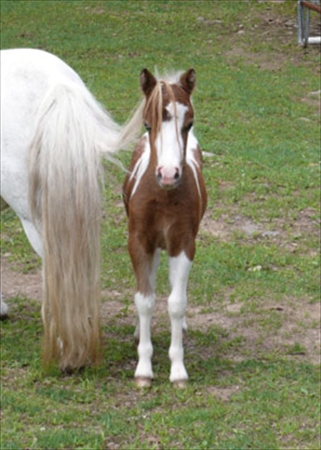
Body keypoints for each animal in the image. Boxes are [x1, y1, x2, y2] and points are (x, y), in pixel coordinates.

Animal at [122, 69, 208, 386]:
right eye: (148, 124)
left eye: (189, 122)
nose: (169, 174)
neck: (164, 195)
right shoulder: (138, 241)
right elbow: (144, 299)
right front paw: (143, 370)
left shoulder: (183, 243)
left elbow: (176, 302)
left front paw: (178, 370)